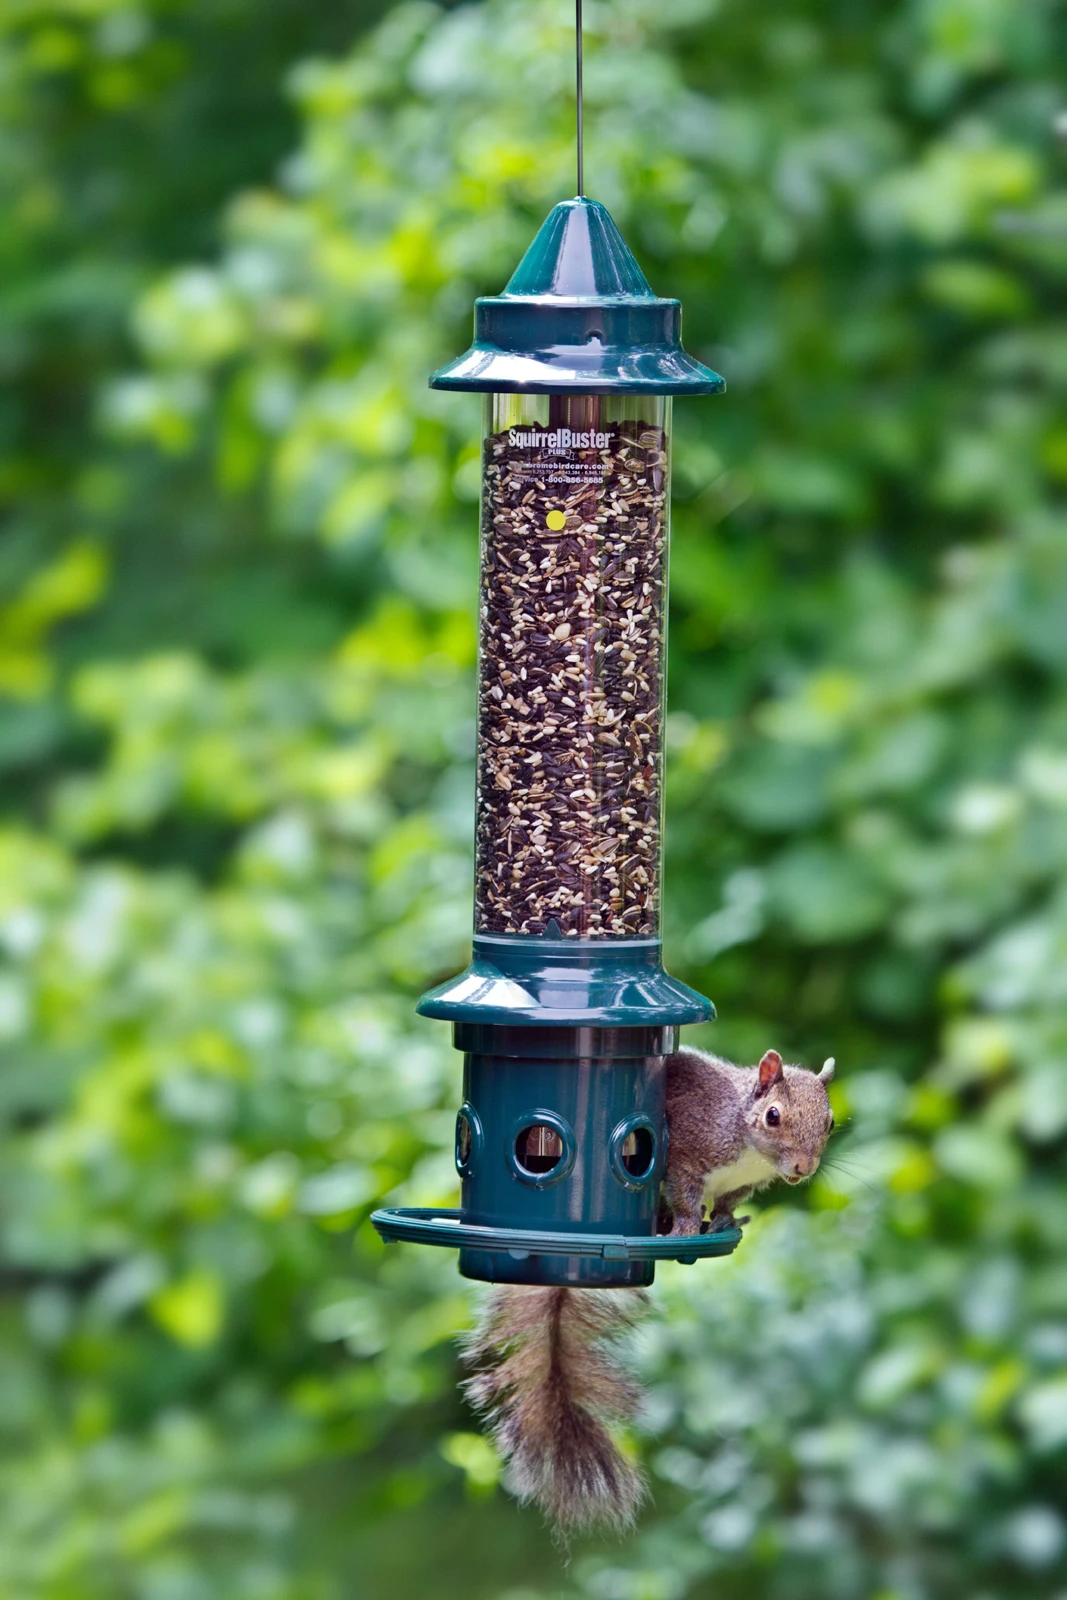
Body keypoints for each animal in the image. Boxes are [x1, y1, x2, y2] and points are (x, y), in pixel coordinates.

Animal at [461, 1046, 836, 1534]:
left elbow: (727, 1203)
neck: (747, 1144)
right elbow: (687, 1196)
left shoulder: (742, 1184)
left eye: (830, 1122)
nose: (802, 1169)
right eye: (773, 1116)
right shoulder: (688, 1155)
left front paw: (724, 1221)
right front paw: (685, 1227)